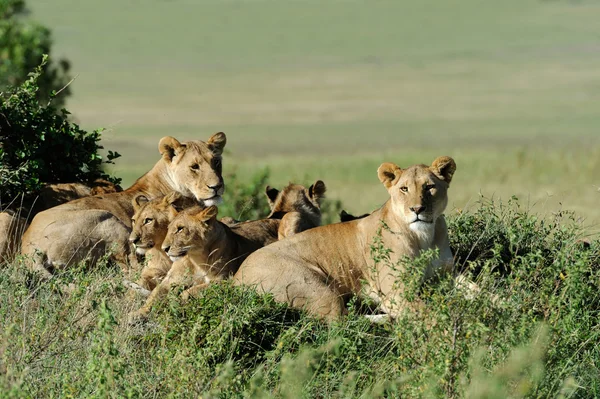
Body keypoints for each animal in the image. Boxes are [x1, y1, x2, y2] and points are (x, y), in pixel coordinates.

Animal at [20, 133, 227, 280]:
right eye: (194, 167)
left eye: (216, 162)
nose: (216, 187)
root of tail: (28, 248)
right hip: (110, 221)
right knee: (131, 269)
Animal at [232, 157, 458, 322]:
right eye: (404, 189)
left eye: (429, 187)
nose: (417, 209)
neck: (424, 237)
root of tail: (235, 279)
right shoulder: (397, 292)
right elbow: (431, 314)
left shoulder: (447, 276)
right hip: (316, 288)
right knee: (341, 322)